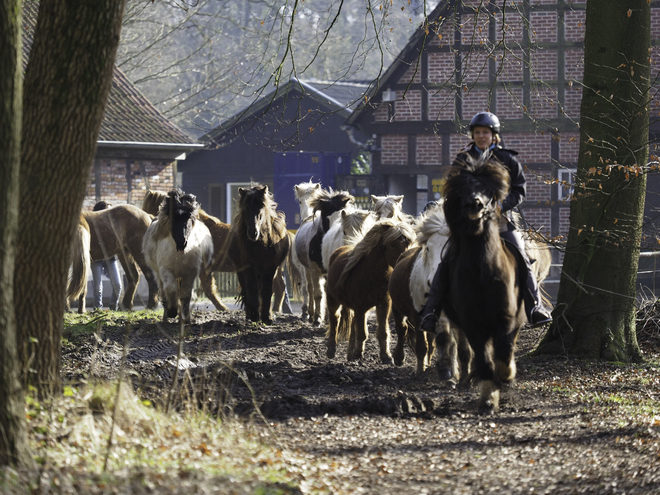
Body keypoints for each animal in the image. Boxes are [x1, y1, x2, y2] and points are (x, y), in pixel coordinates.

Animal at [143, 190, 213, 326]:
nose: (182, 243)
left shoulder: (190, 273)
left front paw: (185, 318)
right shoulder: (165, 270)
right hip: (159, 274)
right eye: (173, 217)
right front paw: (172, 311)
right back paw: (167, 316)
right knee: (163, 291)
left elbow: (185, 295)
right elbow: (170, 289)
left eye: (189, 217)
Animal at [227, 184, 288, 324]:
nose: (253, 233)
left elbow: (267, 290)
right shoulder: (248, 267)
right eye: (245, 209)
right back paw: (250, 314)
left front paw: (267, 317)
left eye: (261, 208)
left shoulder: (270, 268)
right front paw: (255, 315)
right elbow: (252, 289)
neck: (261, 245)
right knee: (246, 290)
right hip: (241, 271)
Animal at [296, 189, 356, 326]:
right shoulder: (314, 269)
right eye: (328, 218)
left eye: (342, 217)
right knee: (310, 288)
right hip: (306, 269)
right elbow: (318, 294)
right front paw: (318, 319)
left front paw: (330, 317)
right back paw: (310, 314)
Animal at [326, 221, 416, 364]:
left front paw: (386, 356)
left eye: (408, 243)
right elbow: (362, 332)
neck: (371, 274)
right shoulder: (360, 308)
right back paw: (331, 350)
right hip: (332, 300)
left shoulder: (383, 304)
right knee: (335, 319)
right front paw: (358, 353)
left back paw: (350, 353)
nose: (403, 260)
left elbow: (382, 332)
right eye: (392, 244)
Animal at [430, 154, 532, 414]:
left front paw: (506, 377)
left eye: (487, 189)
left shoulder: (506, 318)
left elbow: (503, 353)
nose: (474, 204)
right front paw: (488, 399)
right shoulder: (473, 322)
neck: (482, 270)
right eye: (462, 189)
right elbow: (484, 360)